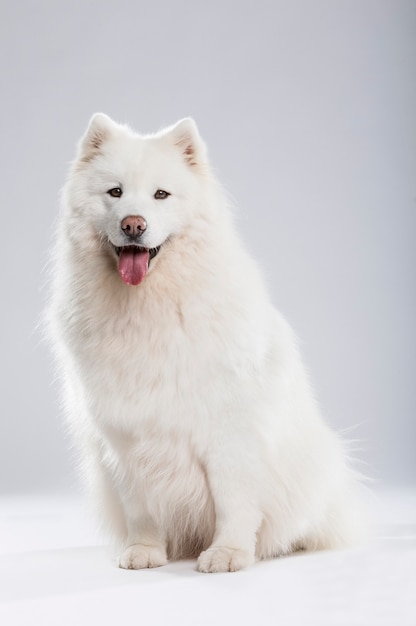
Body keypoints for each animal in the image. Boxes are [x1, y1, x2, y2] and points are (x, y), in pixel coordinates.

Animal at [48, 113, 360, 572]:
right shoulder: (126, 435)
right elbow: (140, 505)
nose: (133, 225)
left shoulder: (229, 430)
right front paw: (145, 551)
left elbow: (233, 500)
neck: (148, 308)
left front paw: (228, 554)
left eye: (161, 194)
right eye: (115, 192)